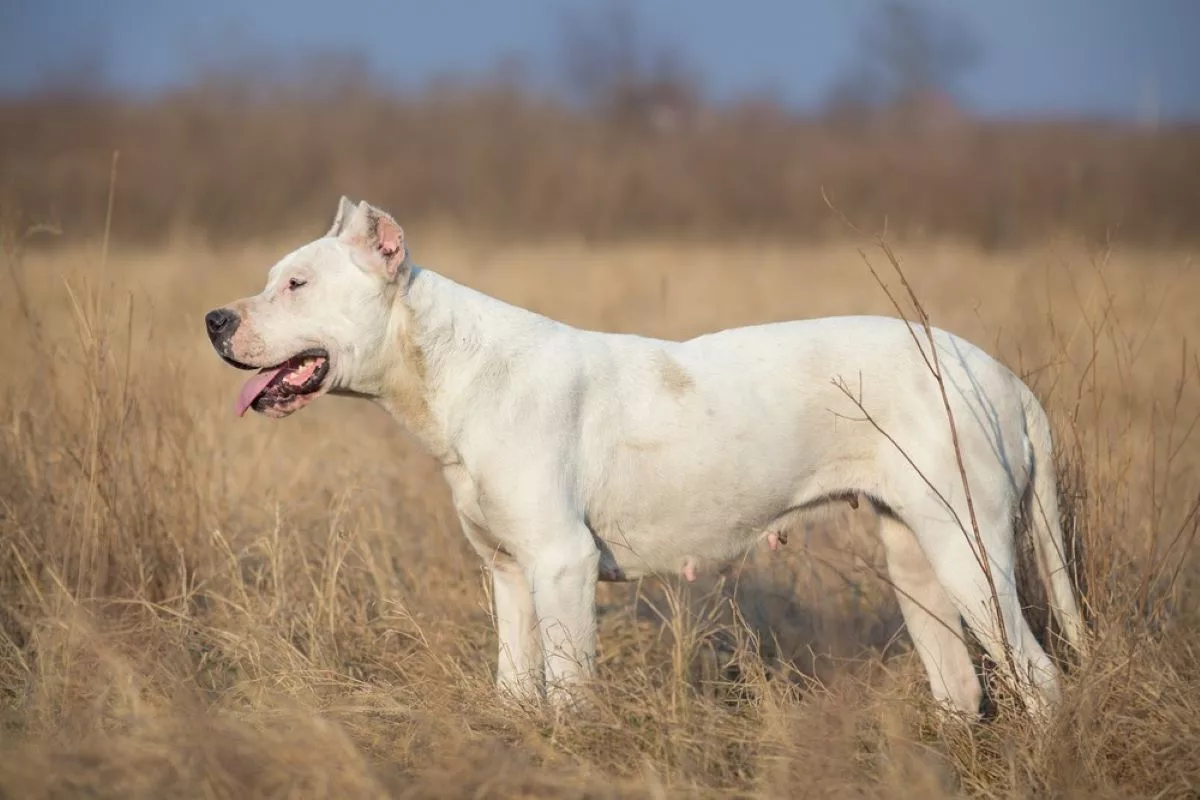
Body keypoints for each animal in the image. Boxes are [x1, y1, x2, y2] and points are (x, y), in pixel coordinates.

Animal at [206, 195, 1089, 719]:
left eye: (297, 284)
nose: (214, 319)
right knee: (961, 684)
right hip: (918, 564)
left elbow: (568, 693)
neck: (451, 367)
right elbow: (516, 687)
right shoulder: (508, 576)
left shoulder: (560, 567)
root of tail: (999, 374)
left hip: (969, 554)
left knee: (1039, 677)